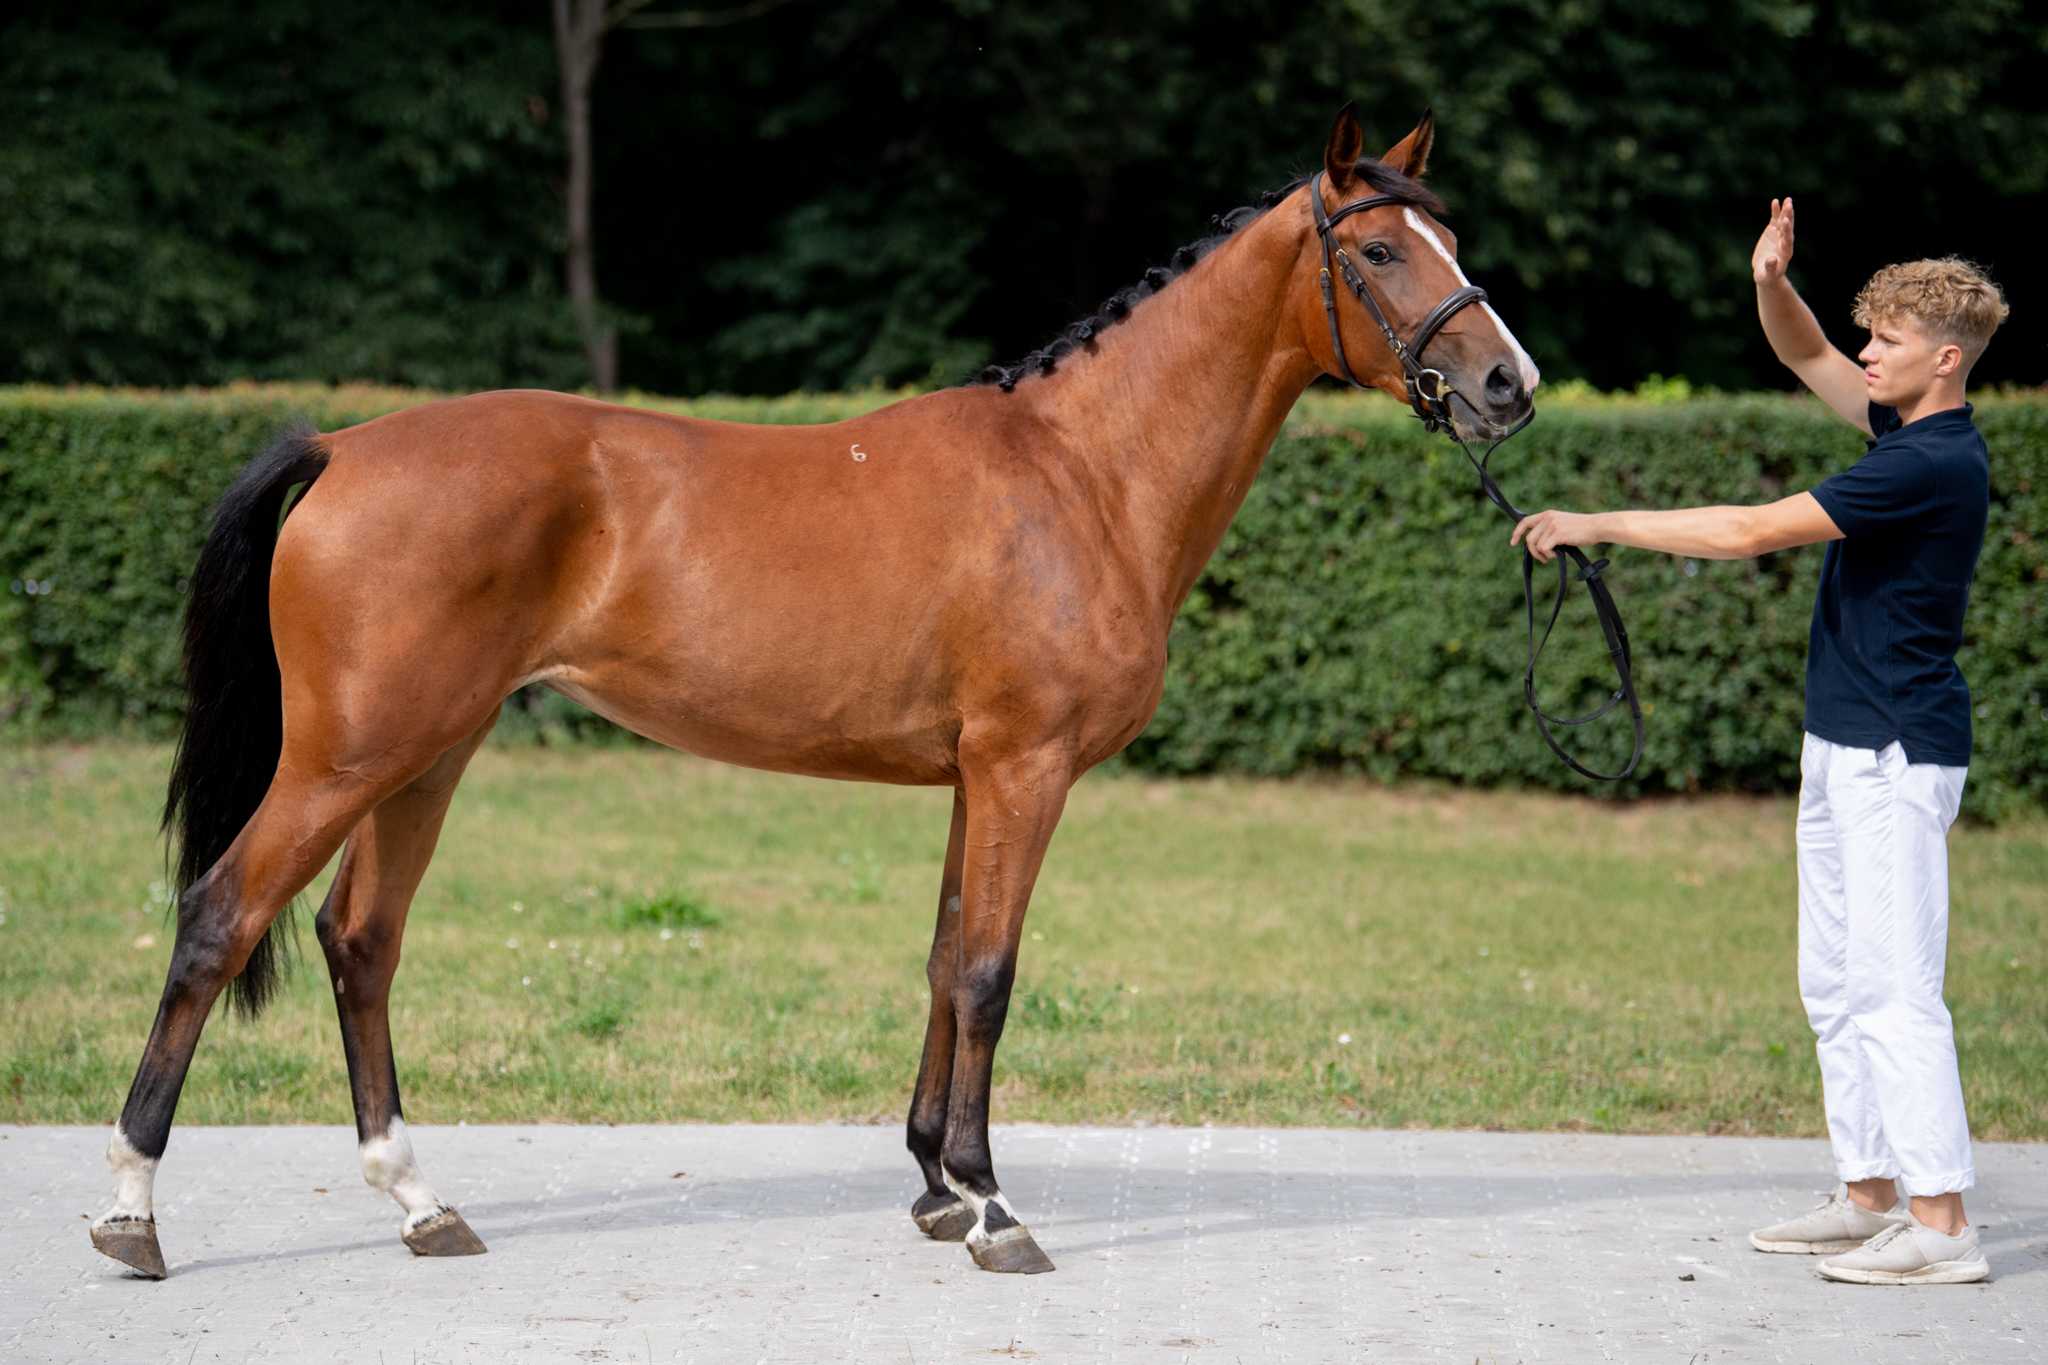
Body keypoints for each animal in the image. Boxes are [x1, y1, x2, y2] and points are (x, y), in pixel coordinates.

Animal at [91, 104, 1537, 1280]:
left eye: (1447, 236)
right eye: (1378, 252)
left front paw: (938, 1187)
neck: (1081, 472)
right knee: (220, 914)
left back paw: (420, 1205)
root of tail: (341, 444)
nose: (1507, 384)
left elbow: (946, 957)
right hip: (350, 757)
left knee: (361, 941)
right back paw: (133, 1215)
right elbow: (992, 973)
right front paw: (994, 1211)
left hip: (428, 756)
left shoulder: (972, 775)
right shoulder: (1023, 769)